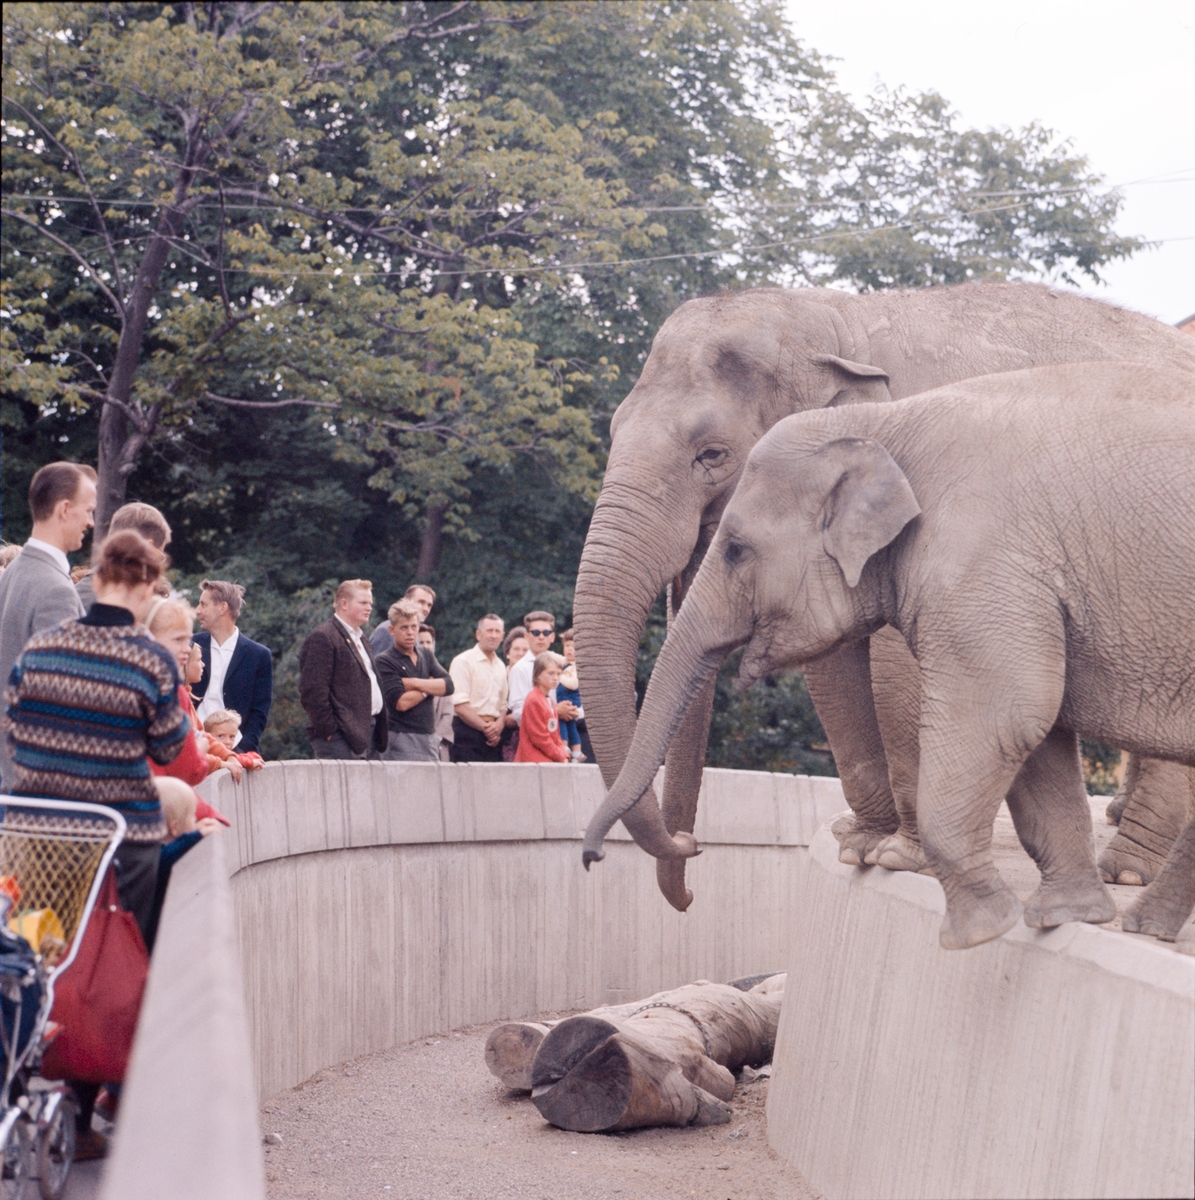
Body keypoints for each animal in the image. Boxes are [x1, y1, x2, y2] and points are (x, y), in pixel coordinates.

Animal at [573, 282, 1195, 912]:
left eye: (713, 454)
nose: (690, 854)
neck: (835, 318)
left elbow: (899, 666)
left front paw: (899, 858)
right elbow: (833, 669)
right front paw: (861, 849)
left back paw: (1127, 870)